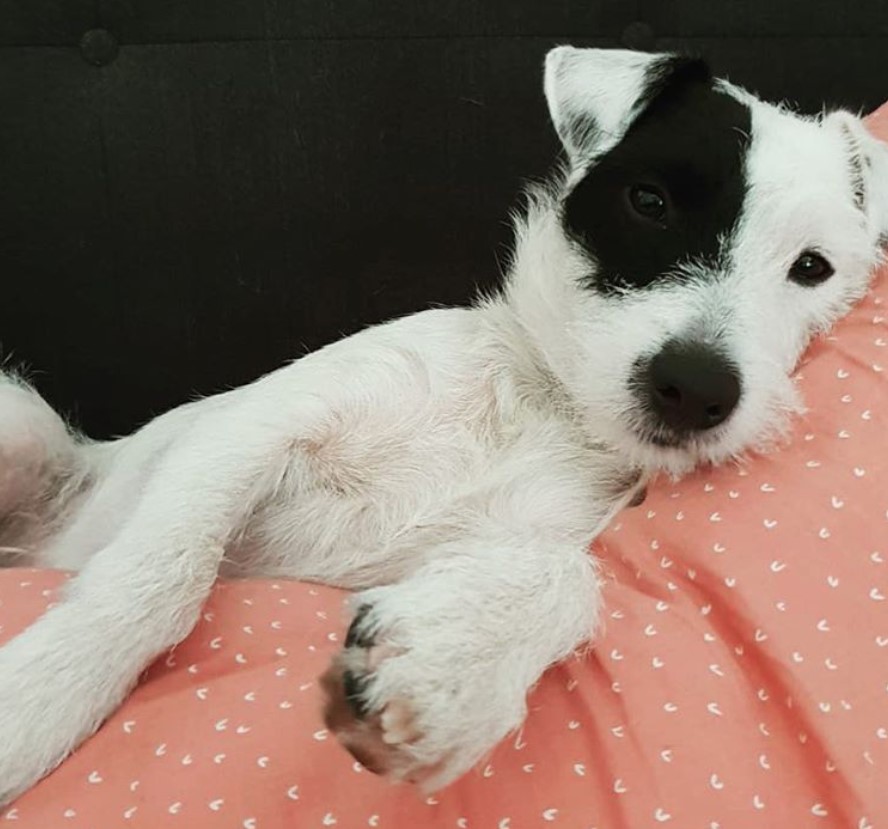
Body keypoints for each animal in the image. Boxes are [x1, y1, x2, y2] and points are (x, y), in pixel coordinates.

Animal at [1, 47, 888, 804]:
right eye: (649, 201)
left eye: (812, 268)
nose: (696, 389)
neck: (541, 405)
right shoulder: (248, 431)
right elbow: (158, 577)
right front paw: (46, 692)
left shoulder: (539, 531)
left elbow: (571, 578)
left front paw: (457, 660)